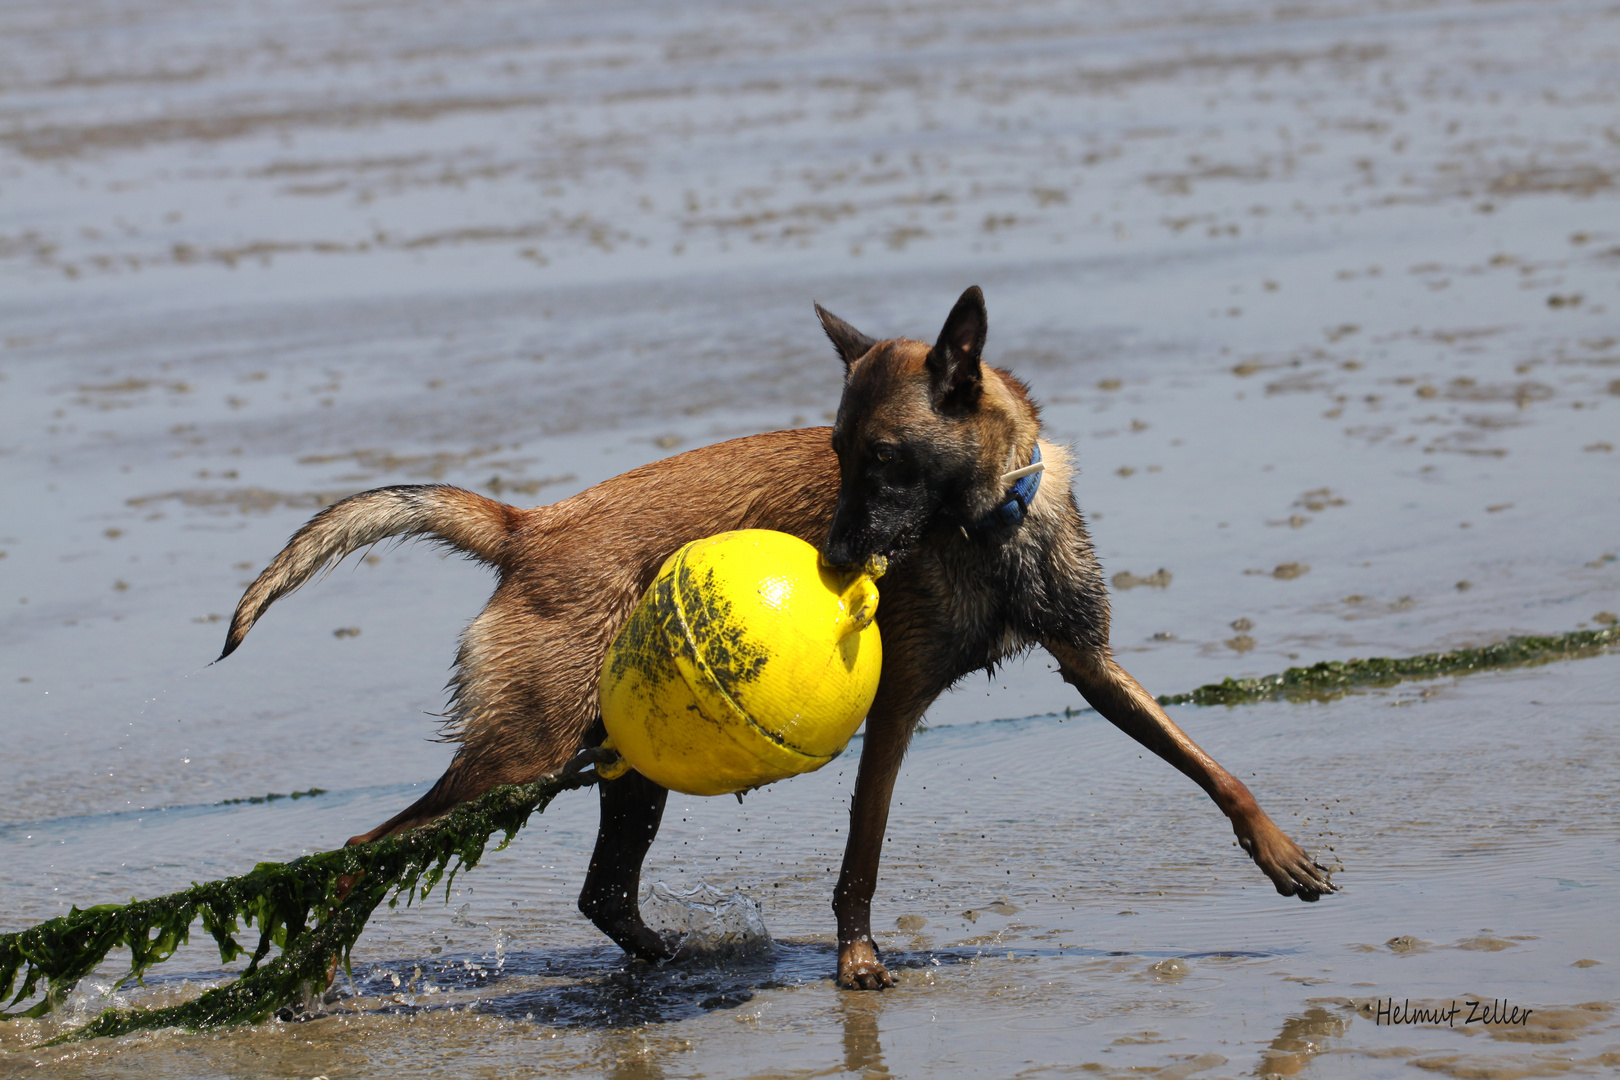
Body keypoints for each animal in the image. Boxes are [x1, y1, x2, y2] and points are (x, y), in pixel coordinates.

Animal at [228, 284, 1341, 990]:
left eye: (882, 459)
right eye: (838, 456)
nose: (837, 565)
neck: (981, 524)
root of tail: (528, 525)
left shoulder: (1095, 668)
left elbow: (1209, 767)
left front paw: (1279, 853)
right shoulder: (893, 715)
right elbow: (861, 856)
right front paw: (857, 961)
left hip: (628, 768)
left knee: (603, 895)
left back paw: (674, 965)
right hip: (523, 757)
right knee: (359, 853)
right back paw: (314, 975)